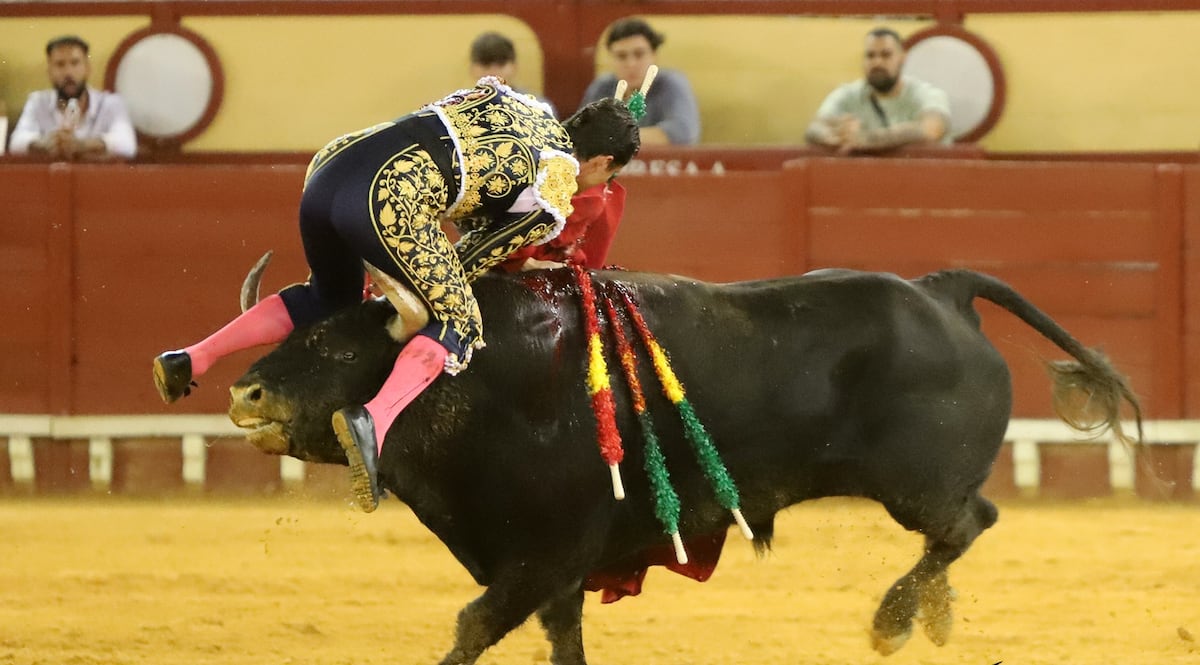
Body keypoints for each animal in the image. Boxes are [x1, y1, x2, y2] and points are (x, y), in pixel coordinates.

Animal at [226, 265, 1142, 662]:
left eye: (334, 343)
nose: (246, 390)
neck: (487, 380)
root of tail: (940, 287)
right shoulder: (553, 572)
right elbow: (561, 639)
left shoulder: (541, 556)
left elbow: (472, 627)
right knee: (955, 535)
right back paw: (932, 615)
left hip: (917, 484)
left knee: (967, 521)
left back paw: (893, 619)